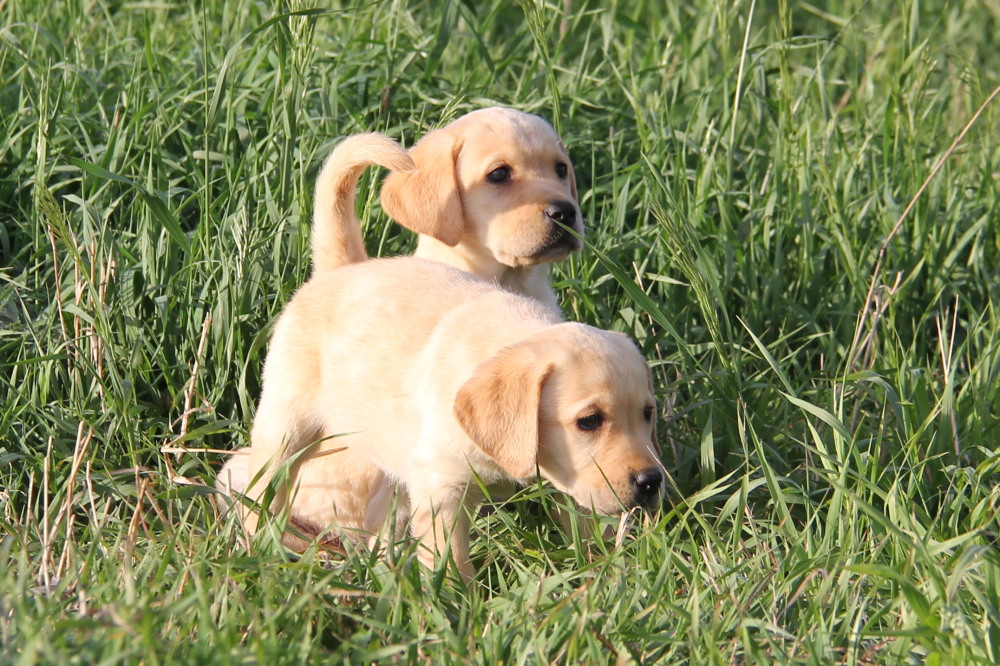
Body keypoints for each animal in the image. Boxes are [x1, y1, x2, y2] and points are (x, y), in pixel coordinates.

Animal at [228, 254, 664, 576]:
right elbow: (449, 557)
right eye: (589, 421)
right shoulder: (442, 489)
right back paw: (257, 548)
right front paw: (459, 608)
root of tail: (337, 269)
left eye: (648, 413)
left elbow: (585, 526)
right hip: (284, 426)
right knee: (259, 491)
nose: (651, 482)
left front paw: (598, 572)